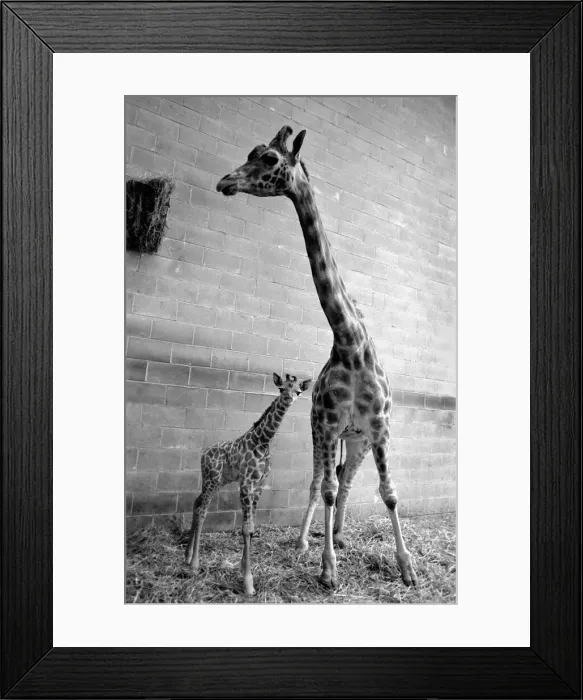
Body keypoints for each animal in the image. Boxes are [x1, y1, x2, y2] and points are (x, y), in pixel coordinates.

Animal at [185, 373, 311, 596]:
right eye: (282, 389)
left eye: (298, 391)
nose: (289, 399)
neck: (262, 441)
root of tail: (203, 453)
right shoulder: (245, 483)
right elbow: (246, 529)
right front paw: (248, 583)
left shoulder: (259, 485)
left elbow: (251, 528)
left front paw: (244, 571)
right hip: (212, 479)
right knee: (202, 510)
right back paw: (194, 565)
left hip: (216, 480)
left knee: (197, 502)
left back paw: (187, 555)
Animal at [216, 125, 417, 588]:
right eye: (251, 152)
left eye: (269, 159)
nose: (225, 182)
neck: (351, 341)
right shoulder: (326, 424)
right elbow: (324, 489)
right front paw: (328, 569)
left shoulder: (378, 426)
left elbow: (389, 493)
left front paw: (407, 568)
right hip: (323, 433)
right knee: (320, 483)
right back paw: (308, 541)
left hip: (356, 439)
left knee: (344, 479)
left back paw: (339, 535)